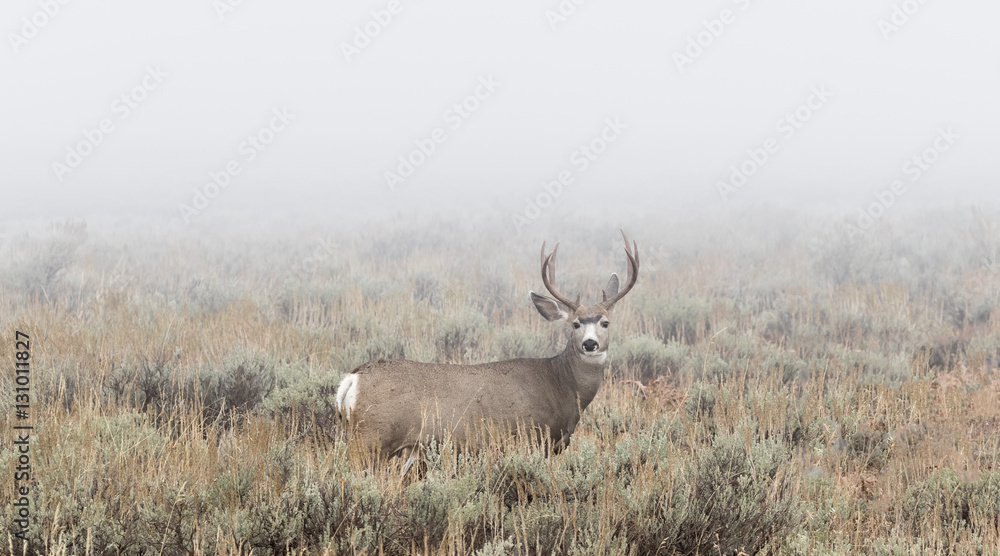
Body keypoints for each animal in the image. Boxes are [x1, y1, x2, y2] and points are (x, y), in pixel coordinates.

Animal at [335, 231, 639, 467]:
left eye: (605, 322)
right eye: (575, 324)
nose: (590, 343)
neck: (560, 384)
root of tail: (353, 378)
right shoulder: (530, 437)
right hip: (371, 439)